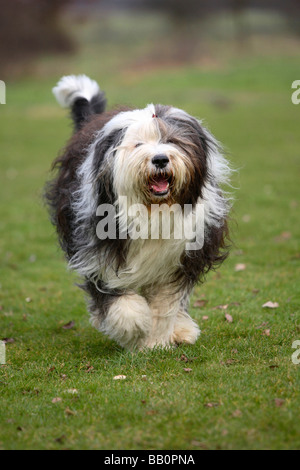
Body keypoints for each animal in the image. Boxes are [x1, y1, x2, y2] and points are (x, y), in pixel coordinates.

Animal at [45, 75, 231, 350]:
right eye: (138, 145)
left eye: (172, 141)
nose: (160, 159)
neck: (152, 209)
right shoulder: (98, 250)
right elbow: (117, 296)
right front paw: (133, 328)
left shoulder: (178, 256)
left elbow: (165, 303)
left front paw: (156, 340)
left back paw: (181, 329)